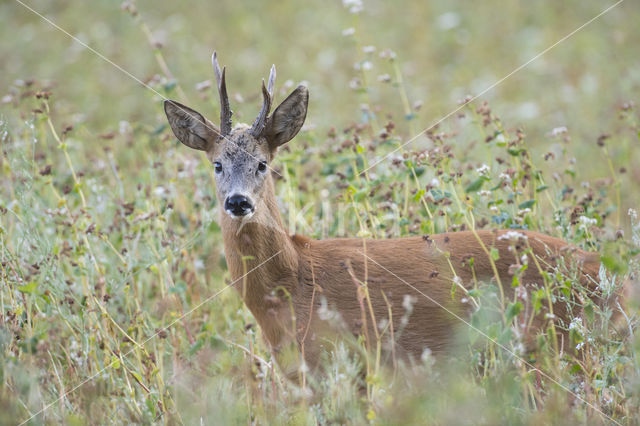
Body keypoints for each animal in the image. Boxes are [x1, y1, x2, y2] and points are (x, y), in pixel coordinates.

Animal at [164, 52, 624, 380]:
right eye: (217, 164)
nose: (238, 202)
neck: (291, 284)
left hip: (560, 347)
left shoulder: (346, 361)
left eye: (262, 163)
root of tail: (610, 274)